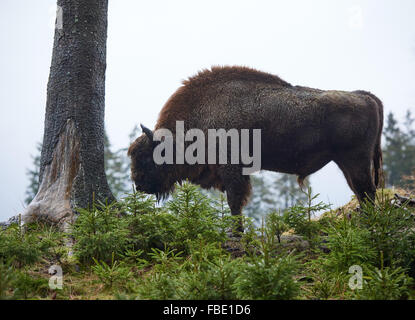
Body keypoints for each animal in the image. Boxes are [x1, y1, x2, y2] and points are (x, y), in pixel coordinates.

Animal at [128, 66, 386, 232]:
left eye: (148, 157)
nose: (139, 185)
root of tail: (366, 96)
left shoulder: (232, 170)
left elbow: (235, 203)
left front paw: (236, 233)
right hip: (347, 163)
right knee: (362, 192)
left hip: (355, 161)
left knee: (367, 192)